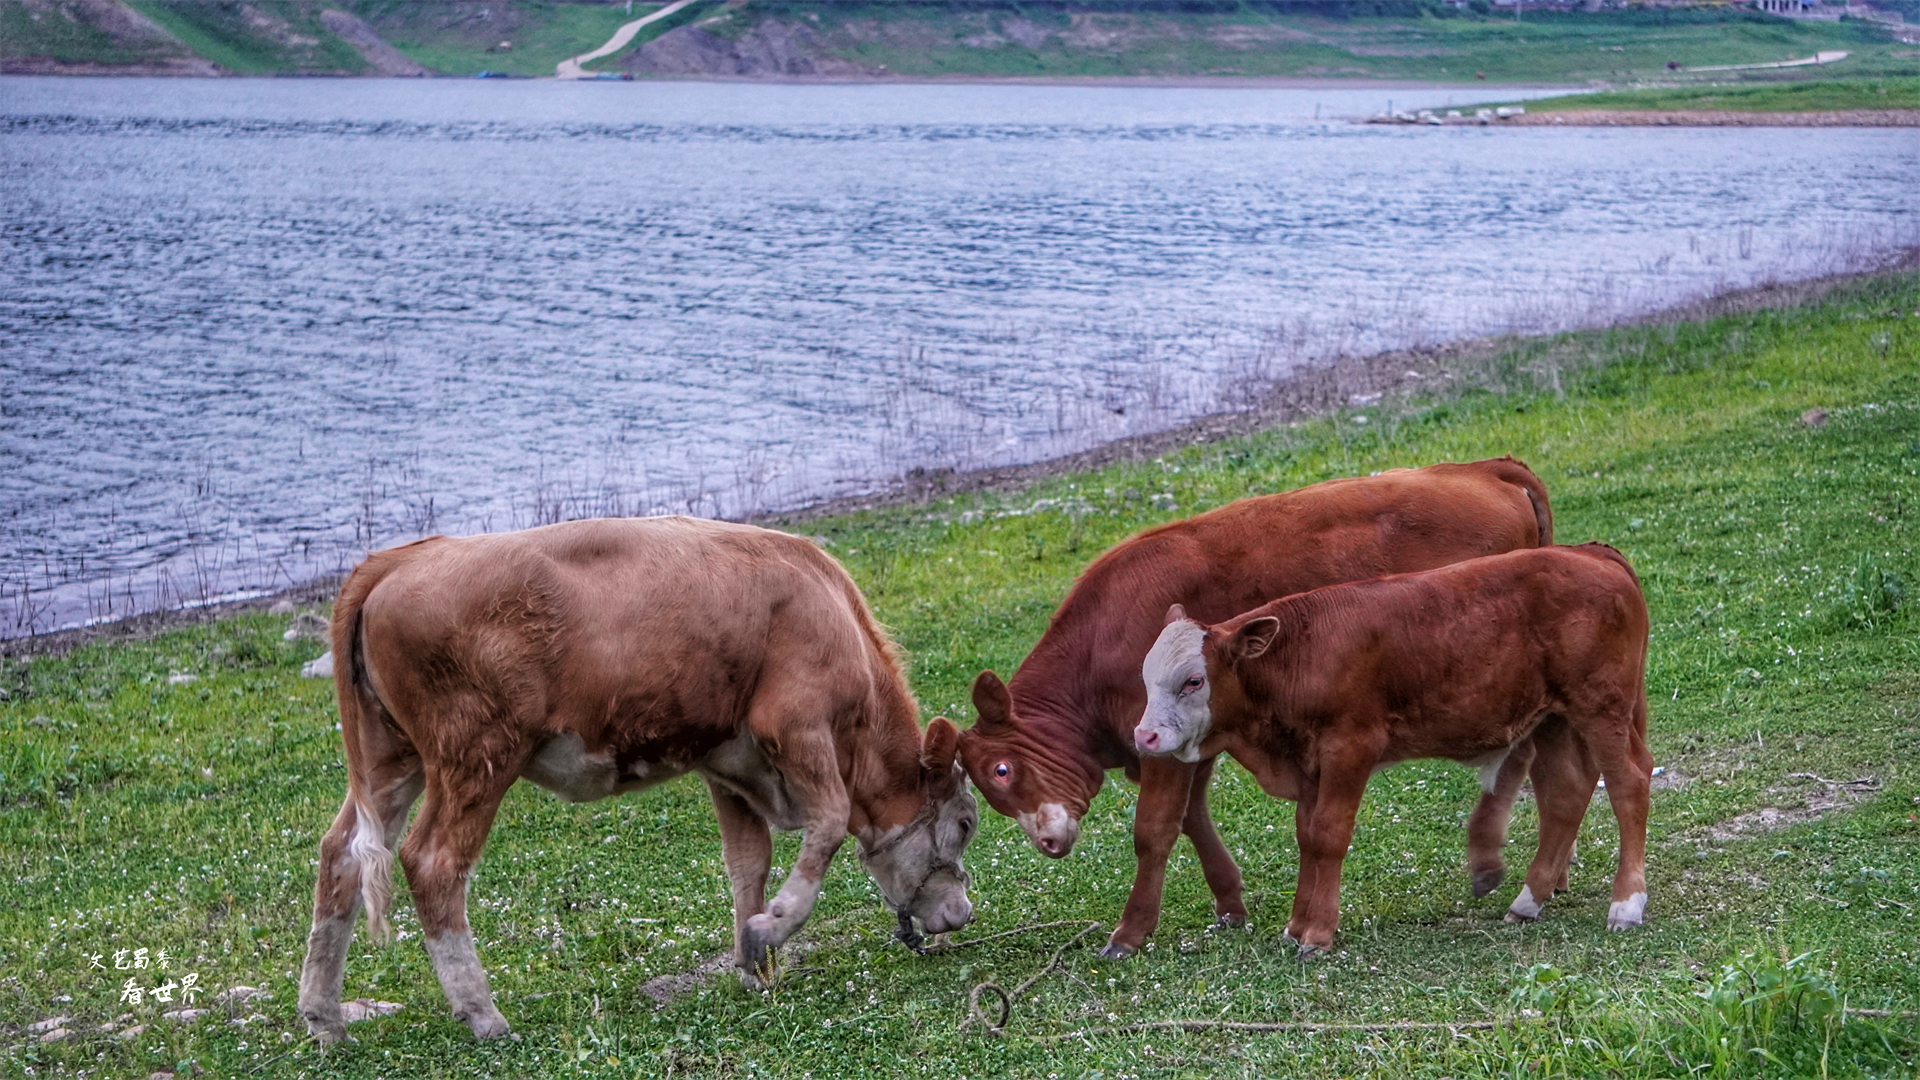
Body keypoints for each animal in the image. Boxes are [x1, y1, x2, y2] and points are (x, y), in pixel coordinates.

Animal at [297, 518, 975, 1037]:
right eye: (966, 824)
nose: (963, 912)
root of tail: (397, 560)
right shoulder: (795, 725)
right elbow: (829, 824)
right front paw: (775, 925)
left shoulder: (728, 762)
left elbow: (747, 861)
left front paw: (752, 965)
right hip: (475, 754)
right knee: (433, 862)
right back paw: (484, 1016)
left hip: (390, 759)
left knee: (342, 855)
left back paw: (325, 1019)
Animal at [956, 453, 1559, 949]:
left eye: (1003, 769)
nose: (1049, 843)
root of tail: (1487, 468)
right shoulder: (1192, 739)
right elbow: (1194, 819)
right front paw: (1229, 902)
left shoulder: (1159, 742)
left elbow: (1154, 830)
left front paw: (1130, 931)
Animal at [1128, 541, 1658, 945]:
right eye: (1146, 679)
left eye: (1194, 681)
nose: (1144, 735)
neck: (1301, 655)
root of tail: (1589, 552)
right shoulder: (1309, 765)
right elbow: (1307, 837)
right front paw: (1297, 924)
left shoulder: (1350, 749)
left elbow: (1329, 835)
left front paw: (1318, 933)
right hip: (1552, 718)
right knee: (1566, 793)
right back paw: (1530, 899)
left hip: (1601, 708)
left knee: (1629, 783)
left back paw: (1626, 903)